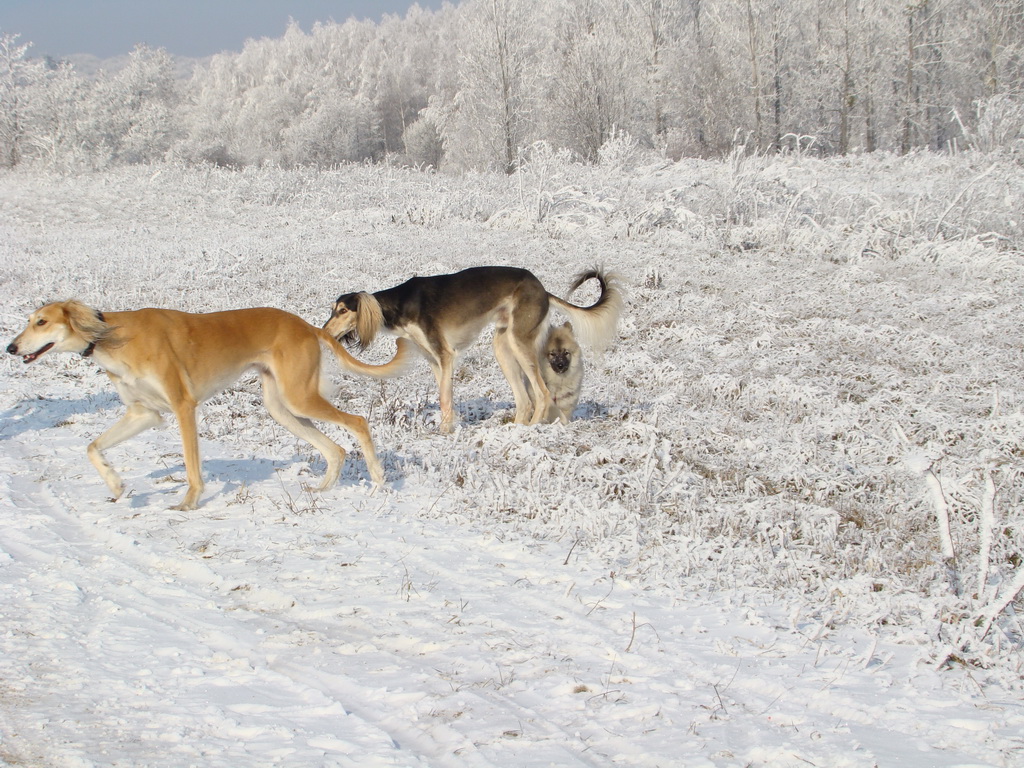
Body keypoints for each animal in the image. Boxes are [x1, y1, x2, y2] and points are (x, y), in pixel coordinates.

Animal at [4, 301, 411, 512]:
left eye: (42, 321)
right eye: (30, 320)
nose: (11, 347)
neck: (112, 336)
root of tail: (308, 327)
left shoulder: (183, 405)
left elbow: (191, 465)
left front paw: (188, 503)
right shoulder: (143, 413)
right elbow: (92, 447)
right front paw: (117, 485)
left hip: (299, 396)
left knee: (357, 422)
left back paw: (377, 480)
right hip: (282, 406)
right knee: (335, 448)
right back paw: (323, 488)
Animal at [323, 266, 618, 434]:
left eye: (343, 310)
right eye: (333, 309)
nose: (323, 332)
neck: (401, 303)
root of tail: (542, 289)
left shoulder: (445, 356)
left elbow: (444, 398)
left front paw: (444, 433)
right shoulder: (434, 359)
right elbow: (445, 397)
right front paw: (447, 427)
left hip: (520, 342)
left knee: (542, 394)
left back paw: (531, 431)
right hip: (503, 347)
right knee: (525, 399)